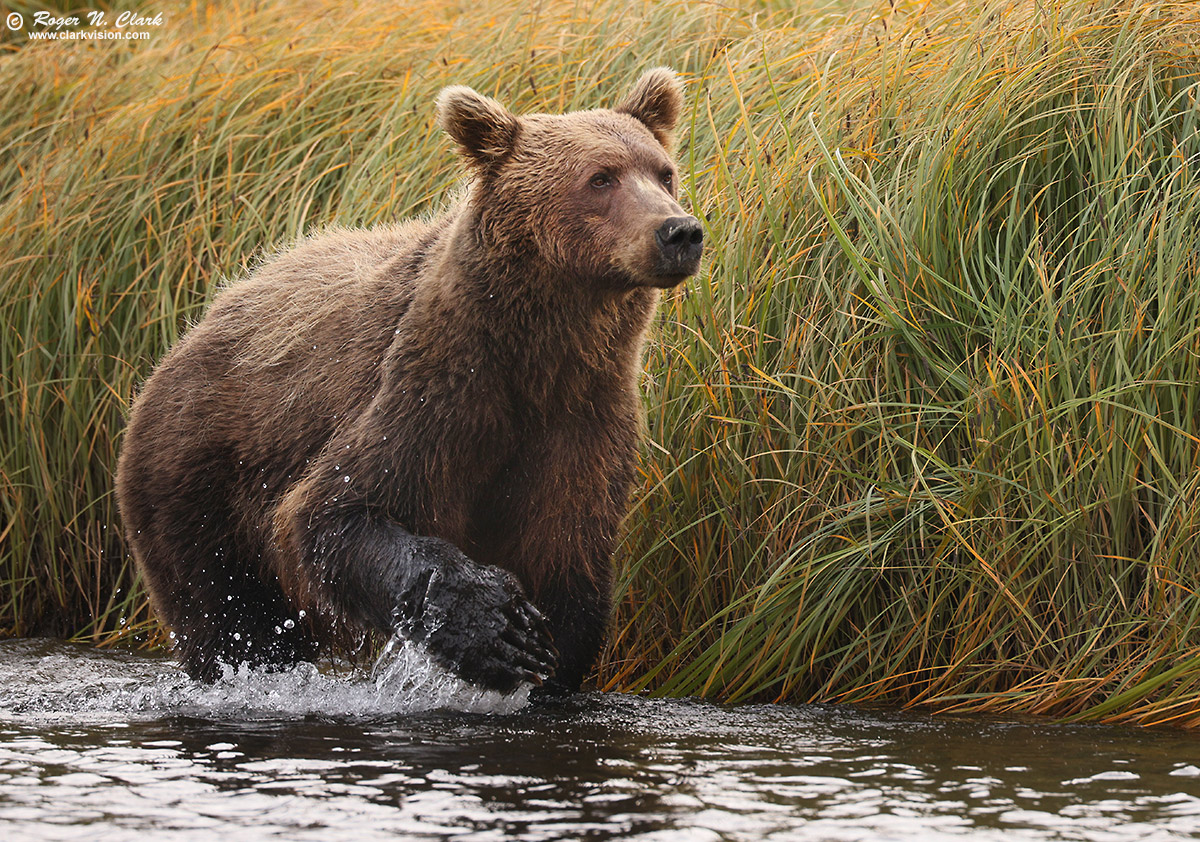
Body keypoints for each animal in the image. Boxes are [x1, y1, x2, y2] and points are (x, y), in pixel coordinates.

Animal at [114, 69, 700, 695]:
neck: (537, 355)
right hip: (198, 478)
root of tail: (195, 327)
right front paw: (495, 627)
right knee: (228, 615)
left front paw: (548, 654)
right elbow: (336, 510)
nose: (679, 231)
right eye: (600, 178)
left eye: (663, 171)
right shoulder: (434, 392)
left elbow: (567, 557)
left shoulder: (583, 419)